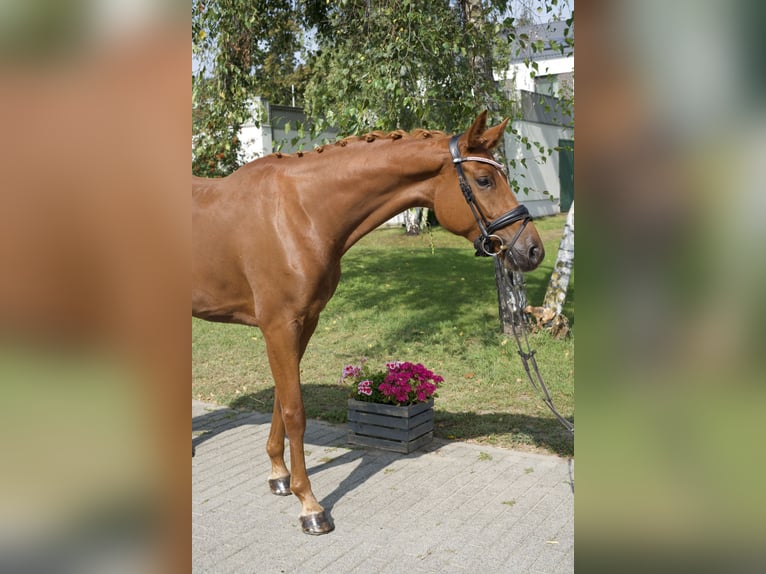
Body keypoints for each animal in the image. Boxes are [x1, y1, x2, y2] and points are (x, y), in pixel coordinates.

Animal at [190, 111, 544, 536]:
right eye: (484, 180)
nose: (533, 250)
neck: (299, 214)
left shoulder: (305, 322)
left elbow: (281, 399)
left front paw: (278, 474)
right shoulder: (279, 325)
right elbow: (295, 411)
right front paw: (310, 505)